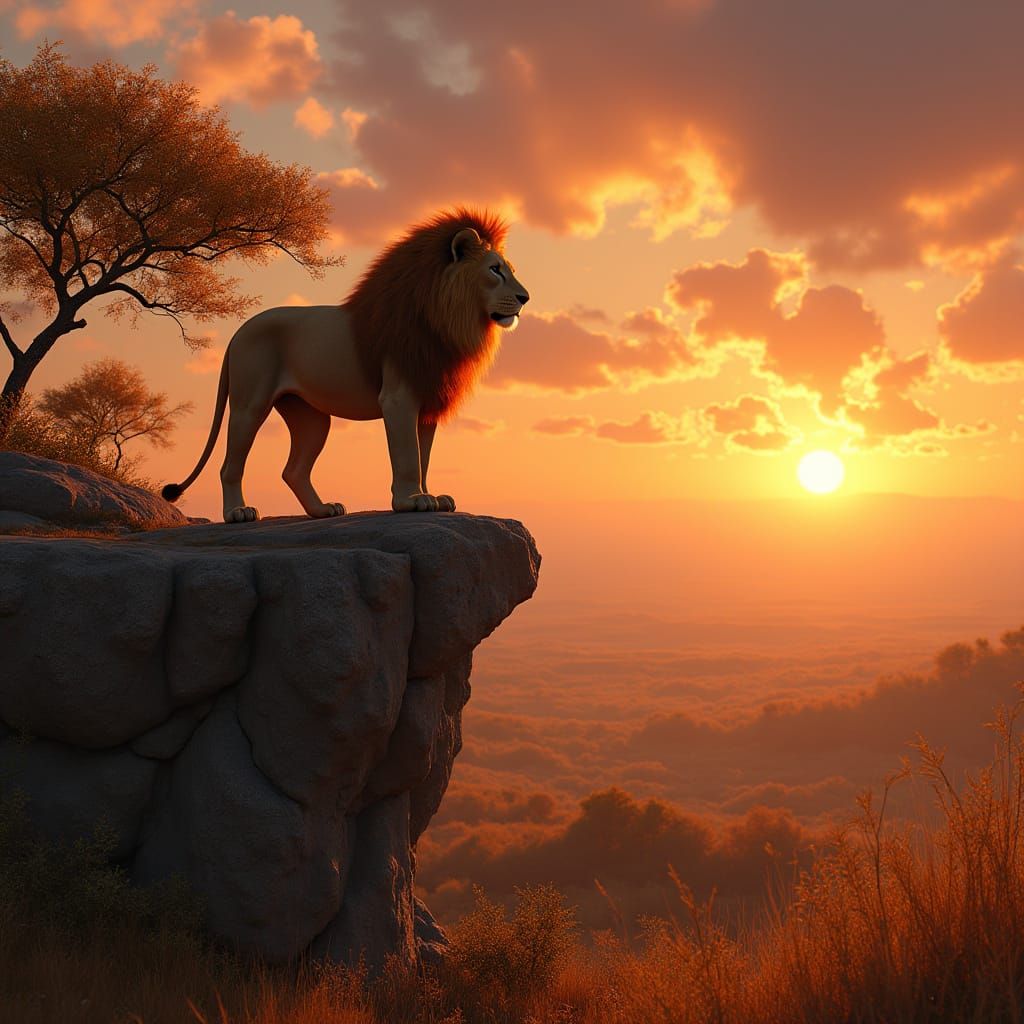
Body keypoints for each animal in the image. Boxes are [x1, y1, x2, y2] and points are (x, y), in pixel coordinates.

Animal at [161, 208, 529, 521]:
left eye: (509, 269)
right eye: (495, 270)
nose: (525, 298)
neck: (446, 319)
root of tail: (237, 333)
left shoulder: (428, 400)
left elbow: (424, 456)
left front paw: (431, 496)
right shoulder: (398, 397)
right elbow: (408, 456)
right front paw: (411, 501)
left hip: (311, 417)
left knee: (293, 470)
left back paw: (322, 510)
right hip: (250, 404)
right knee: (230, 465)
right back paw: (237, 512)